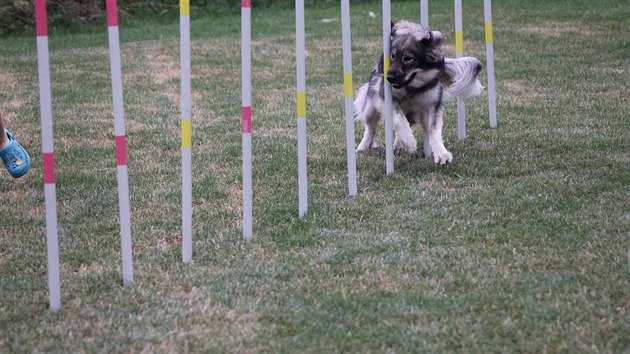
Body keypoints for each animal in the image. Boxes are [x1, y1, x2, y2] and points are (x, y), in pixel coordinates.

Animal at [356, 21, 484, 165]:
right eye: (392, 56)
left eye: (407, 58)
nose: (388, 77)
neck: (412, 87)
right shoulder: (385, 98)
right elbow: (399, 118)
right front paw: (410, 141)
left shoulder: (431, 106)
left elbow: (434, 130)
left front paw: (441, 153)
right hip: (370, 109)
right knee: (370, 128)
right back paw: (362, 148)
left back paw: (399, 145)